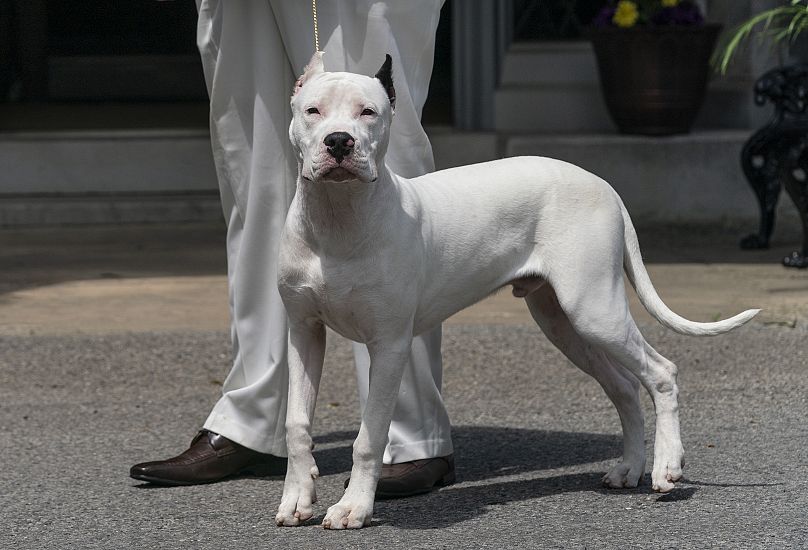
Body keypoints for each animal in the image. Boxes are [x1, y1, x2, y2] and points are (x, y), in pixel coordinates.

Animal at [274, 55, 756, 532]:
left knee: (660, 371)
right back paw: (629, 469)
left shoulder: (389, 344)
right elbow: (296, 423)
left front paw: (354, 507)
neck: (337, 218)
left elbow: (369, 437)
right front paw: (297, 498)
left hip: (595, 311)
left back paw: (666, 467)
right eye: (312, 110)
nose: (339, 141)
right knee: (623, 386)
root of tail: (604, 185)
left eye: (368, 112)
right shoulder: (304, 333)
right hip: (563, 323)